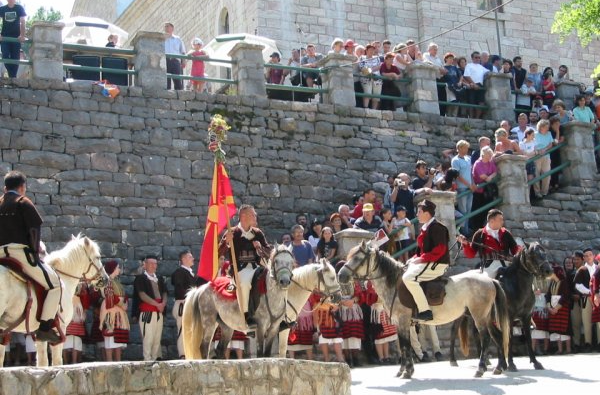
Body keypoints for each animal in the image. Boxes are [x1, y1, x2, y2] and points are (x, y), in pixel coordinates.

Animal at [0, 235, 108, 368]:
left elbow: (42, 362)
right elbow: (57, 361)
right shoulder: (60, 329)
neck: (64, 279)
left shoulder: (39, 335)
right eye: (98, 257)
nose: (106, 279)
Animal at [340, 241, 508, 380]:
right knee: (497, 336)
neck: (393, 284)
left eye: (357, 258)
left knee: (486, 338)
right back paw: (499, 367)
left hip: (478, 316)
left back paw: (481, 369)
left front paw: (407, 371)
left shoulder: (403, 320)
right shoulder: (398, 323)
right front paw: (402, 370)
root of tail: (489, 279)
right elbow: (403, 345)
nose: (341, 275)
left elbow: (405, 345)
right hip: (486, 317)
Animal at [450, 241, 552, 374]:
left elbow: (528, 339)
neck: (517, 285)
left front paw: (535, 362)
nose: (548, 270)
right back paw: (453, 360)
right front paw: (511, 364)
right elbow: (509, 338)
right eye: (533, 254)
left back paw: (485, 361)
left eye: (544, 253)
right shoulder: (509, 317)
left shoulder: (526, 317)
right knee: (454, 331)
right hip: (460, 314)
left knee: (478, 333)